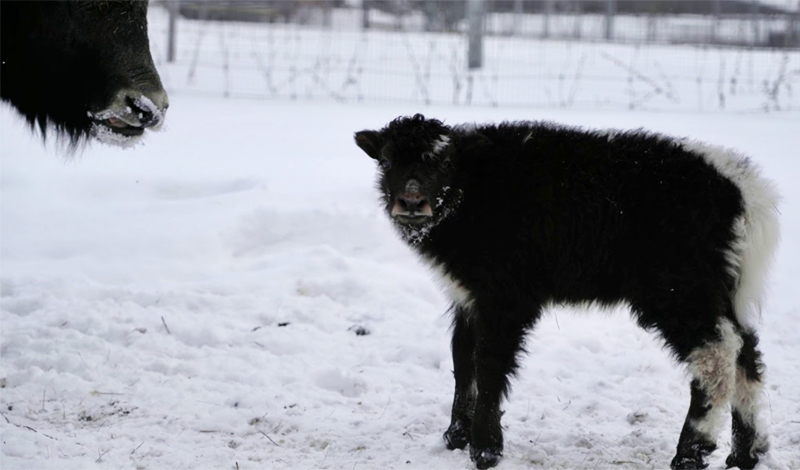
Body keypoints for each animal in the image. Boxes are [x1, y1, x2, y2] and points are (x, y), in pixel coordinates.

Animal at [356, 115, 780, 470]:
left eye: (444, 164)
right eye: (387, 161)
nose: (412, 202)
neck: (476, 188)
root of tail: (743, 189)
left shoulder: (504, 299)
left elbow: (489, 364)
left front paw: (485, 449)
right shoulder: (468, 298)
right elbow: (464, 361)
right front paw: (455, 436)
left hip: (679, 292)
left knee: (715, 355)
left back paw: (691, 452)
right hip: (720, 292)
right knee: (746, 353)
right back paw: (746, 453)